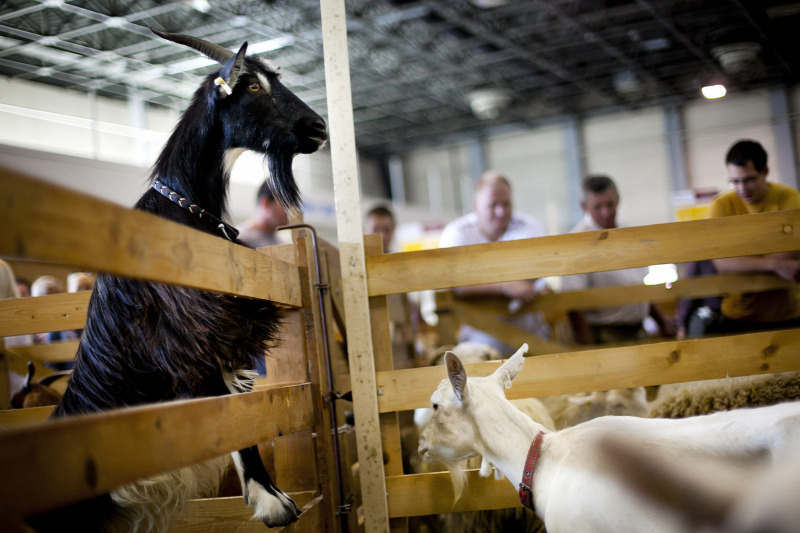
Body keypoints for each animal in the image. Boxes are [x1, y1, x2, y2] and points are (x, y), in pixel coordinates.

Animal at [28, 30, 328, 532]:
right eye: (252, 87)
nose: (319, 128)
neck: (184, 208)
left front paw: (272, 495)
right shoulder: (192, 339)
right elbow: (229, 417)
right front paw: (272, 504)